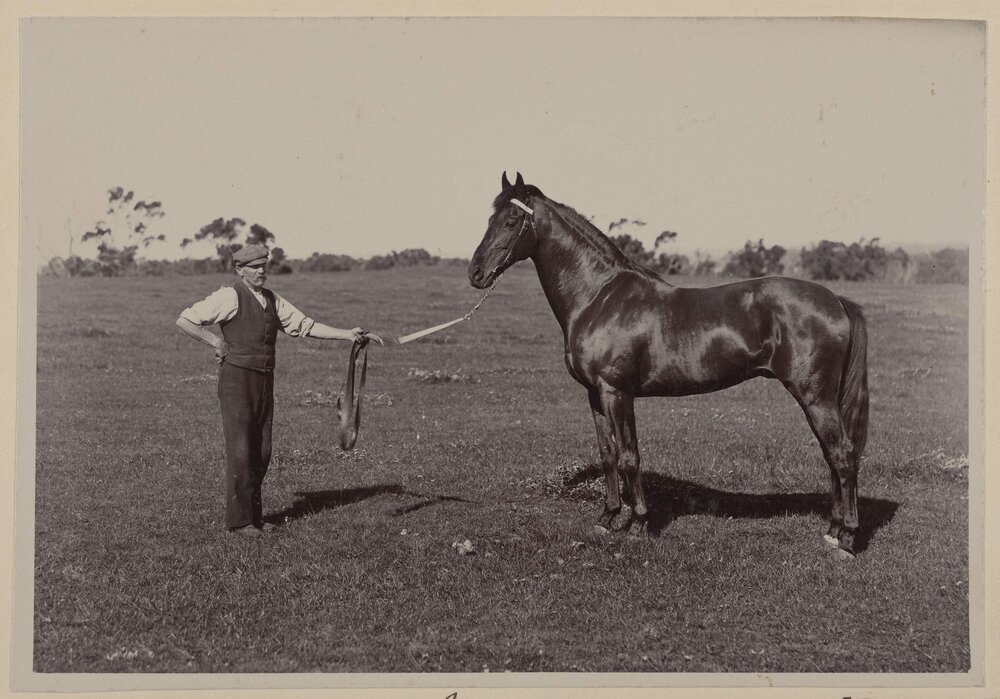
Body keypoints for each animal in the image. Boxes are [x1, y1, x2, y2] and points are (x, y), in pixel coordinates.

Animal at [468, 172, 870, 557]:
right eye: (489, 218)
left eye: (512, 220)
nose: (475, 273)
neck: (600, 297)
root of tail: (837, 300)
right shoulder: (595, 395)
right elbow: (608, 454)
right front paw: (606, 519)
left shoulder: (618, 393)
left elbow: (630, 457)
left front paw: (638, 524)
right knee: (832, 456)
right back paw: (833, 531)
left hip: (815, 397)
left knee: (843, 455)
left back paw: (847, 539)